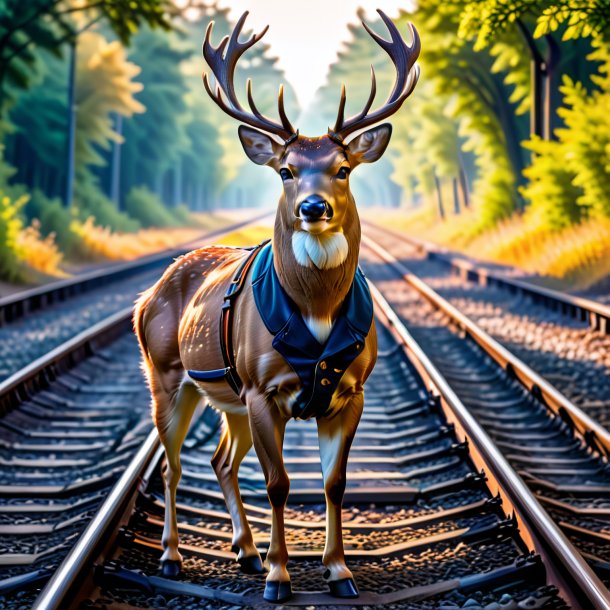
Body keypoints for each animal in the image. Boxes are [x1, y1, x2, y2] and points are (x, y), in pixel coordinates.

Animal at [133, 8, 418, 600]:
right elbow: (280, 483)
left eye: (343, 168)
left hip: (229, 398)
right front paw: (280, 575)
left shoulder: (351, 389)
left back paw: (244, 550)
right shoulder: (263, 386)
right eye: (286, 169)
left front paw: (339, 571)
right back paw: (173, 556)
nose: (313, 207)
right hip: (168, 374)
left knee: (220, 460)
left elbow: (334, 483)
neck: (316, 313)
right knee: (172, 467)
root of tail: (145, 296)